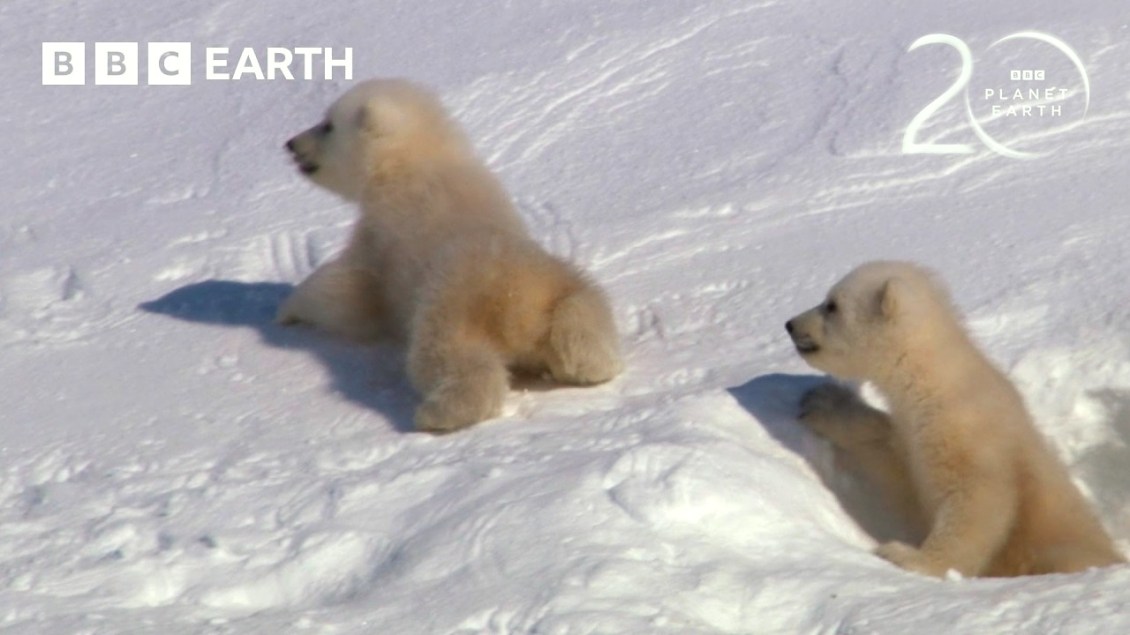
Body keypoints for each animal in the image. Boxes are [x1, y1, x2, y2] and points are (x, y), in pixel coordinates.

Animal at [277, 78, 623, 433]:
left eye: (328, 124)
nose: (291, 144)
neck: (417, 159)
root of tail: (519, 309)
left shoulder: (381, 234)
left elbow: (349, 288)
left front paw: (287, 310)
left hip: (451, 303)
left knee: (450, 359)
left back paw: (438, 413)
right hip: (558, 280)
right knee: (583, 315)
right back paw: (588, 365)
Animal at [785, 260, 1124, 578]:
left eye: (832, 305)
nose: (790, 324)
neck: (937, 383)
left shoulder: (967, 430)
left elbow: (978, 502)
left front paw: (909, 557)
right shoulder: (914, 438)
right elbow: (891, 457)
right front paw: (822, 402)